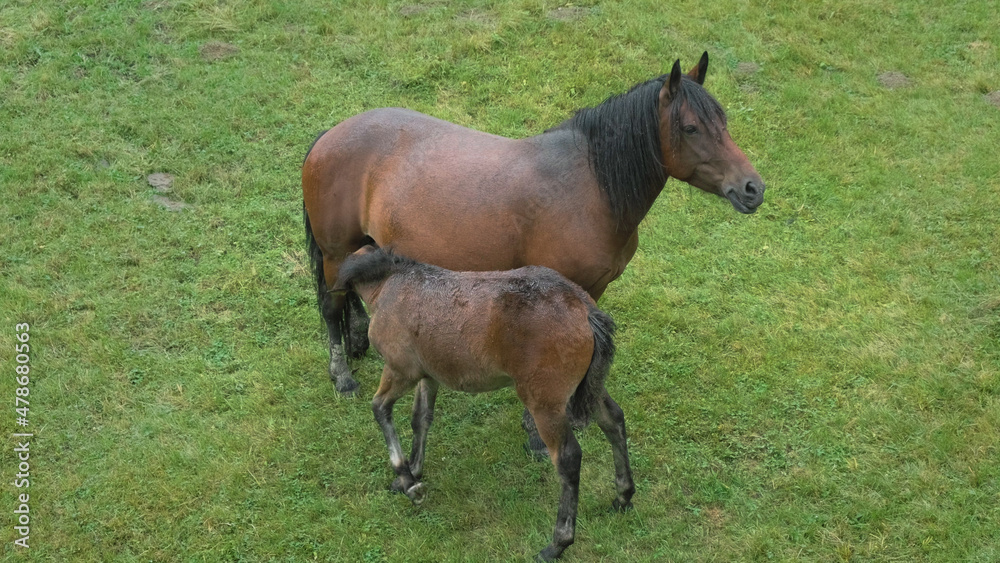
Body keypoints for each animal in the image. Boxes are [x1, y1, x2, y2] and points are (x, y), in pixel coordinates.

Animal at [303, 52, 765, 455]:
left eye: (723, 121)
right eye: (690, 128)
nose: (752, 189)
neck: (589, 186)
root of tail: (329, 136)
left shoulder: (592, 290)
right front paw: (538, 434)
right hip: (334, 252)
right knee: (331, 306)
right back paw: (342, 377)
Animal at [333, 246, 633, 562]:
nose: (354, 348)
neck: (390, 285)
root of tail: (584, 308)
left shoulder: (401, 371)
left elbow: (380, 409)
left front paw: (408, 481)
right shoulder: (429, 375)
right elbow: (420, 419)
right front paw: (414, 469)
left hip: (545, 404)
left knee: (568, 458)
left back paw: (558, 543)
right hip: (590, 389)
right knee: (614, 420)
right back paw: (623, 497)